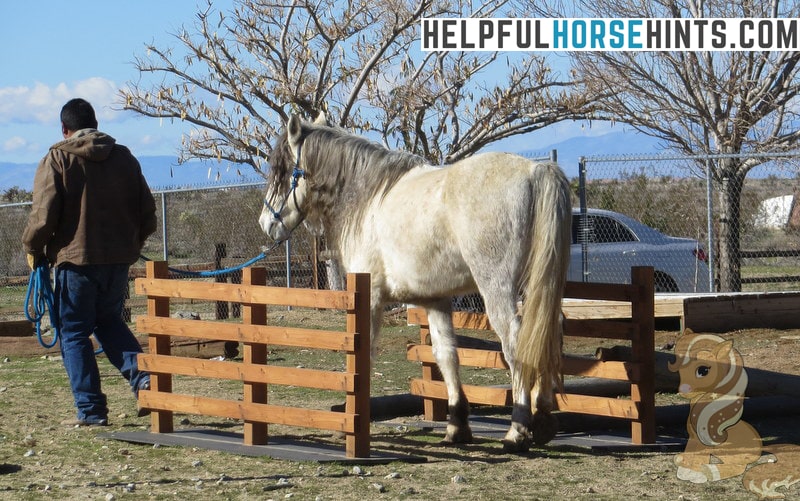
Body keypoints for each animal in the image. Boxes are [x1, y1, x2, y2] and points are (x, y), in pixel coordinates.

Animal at [260, 115, 572, 452]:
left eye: (281, 170)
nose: (266, 223)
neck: (368, 199)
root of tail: (535, 171)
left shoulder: (371, 299)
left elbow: (367, 353)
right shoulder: (437, 301)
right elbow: (446, 355)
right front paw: (456, 426)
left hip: (498, 289)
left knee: (516, 343)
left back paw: (518, 429)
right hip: (536, 287)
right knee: (547, 332)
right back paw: (543, 417)